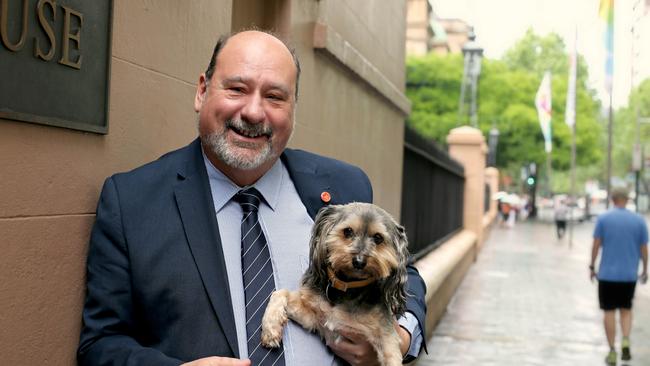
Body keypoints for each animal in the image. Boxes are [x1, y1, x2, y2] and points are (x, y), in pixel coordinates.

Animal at [260, 202, 408, 364]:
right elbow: (280, 292)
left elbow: (392, 358)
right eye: (348, 231)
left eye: (378, 238)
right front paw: (270, 328)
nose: (359, 261)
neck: (348, 287)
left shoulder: (386, 337)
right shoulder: (313, 318)